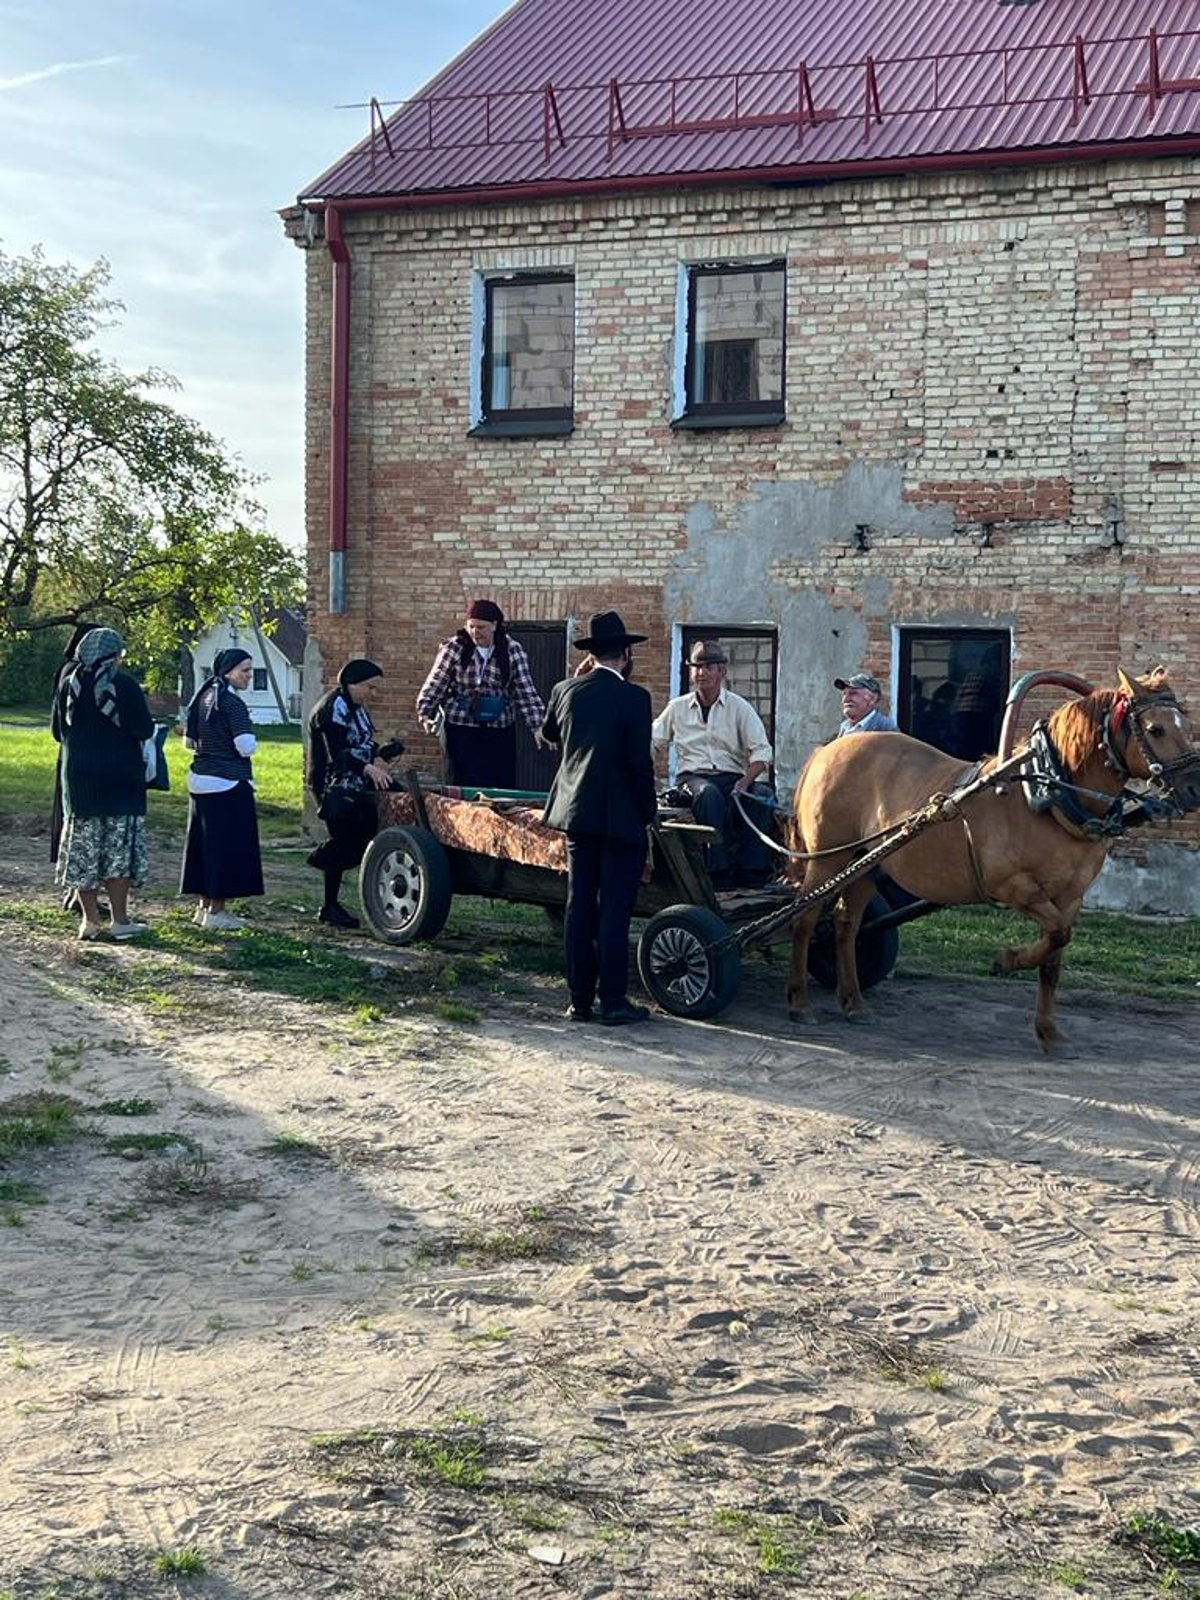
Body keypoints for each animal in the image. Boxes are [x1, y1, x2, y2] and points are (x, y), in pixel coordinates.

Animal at [790, 672, 1200, 1056]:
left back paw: (853, 1001)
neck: (1046, 796)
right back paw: (799, 1002)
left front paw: (1048, 1032)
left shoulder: (1070, 898)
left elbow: (1054, 957)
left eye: (1186, 724)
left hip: (867, 865)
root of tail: (827, 750)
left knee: (846, 925)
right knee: (805, 919)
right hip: (828, 859)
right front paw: (1007, 960)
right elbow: (1056, 935)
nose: (1193, 789)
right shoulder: (1013, 885)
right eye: (1156, 729)